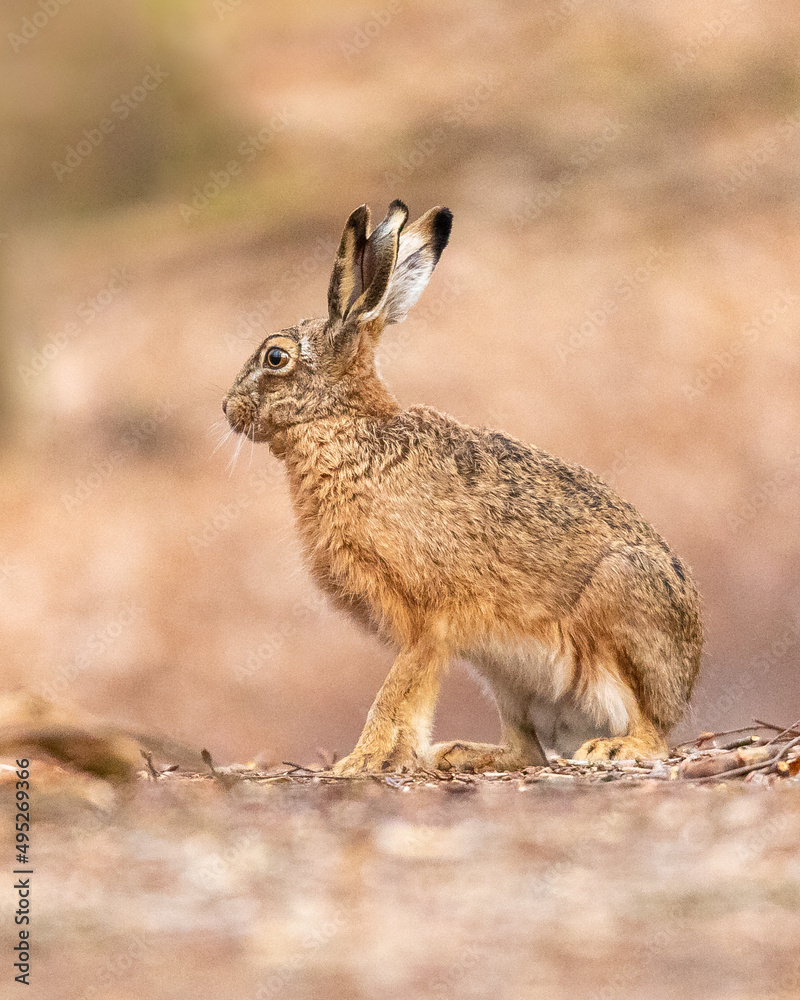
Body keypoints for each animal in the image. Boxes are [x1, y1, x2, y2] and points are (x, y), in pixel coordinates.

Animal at [222, 199, 703, 775]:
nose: (226, 409)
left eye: (275, 358)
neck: (344, 428)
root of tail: (684, 685)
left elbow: (396, 692)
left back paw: (614, 747)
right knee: (525, 750)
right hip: (504, 674)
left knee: (650, 731)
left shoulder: (428, 620)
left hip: (617, 605)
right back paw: (459, 753)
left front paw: (359, 762)